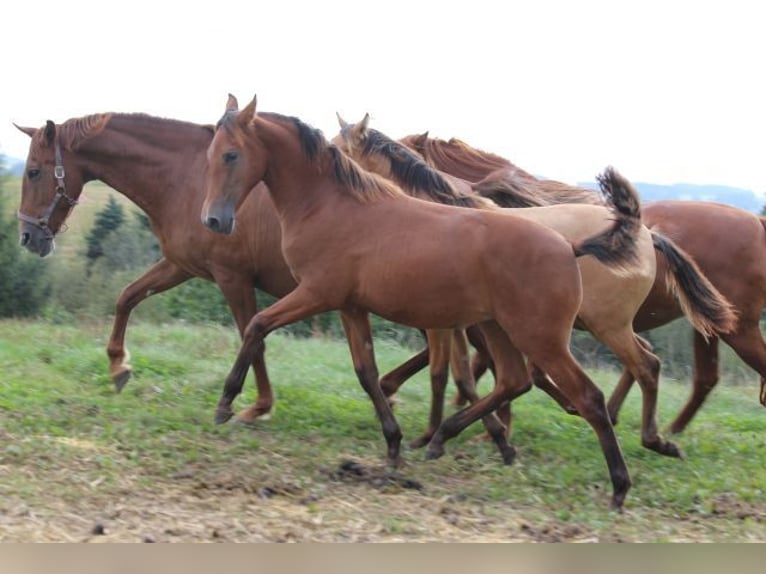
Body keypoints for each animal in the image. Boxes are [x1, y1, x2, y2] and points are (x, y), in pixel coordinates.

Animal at [200, 95, 656, 512]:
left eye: (231, 154)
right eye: (210, 154)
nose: (214, 221)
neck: (333, 206)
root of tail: (568, 246)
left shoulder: (316, 294)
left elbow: (257, 324)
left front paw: (226, 404)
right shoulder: (351, 306)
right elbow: (368, 373)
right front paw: (394, 444)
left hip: (541, 337)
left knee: (589, 396)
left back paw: (619, 487)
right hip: (497, 328)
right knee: (514, 381)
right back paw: (446, 436)